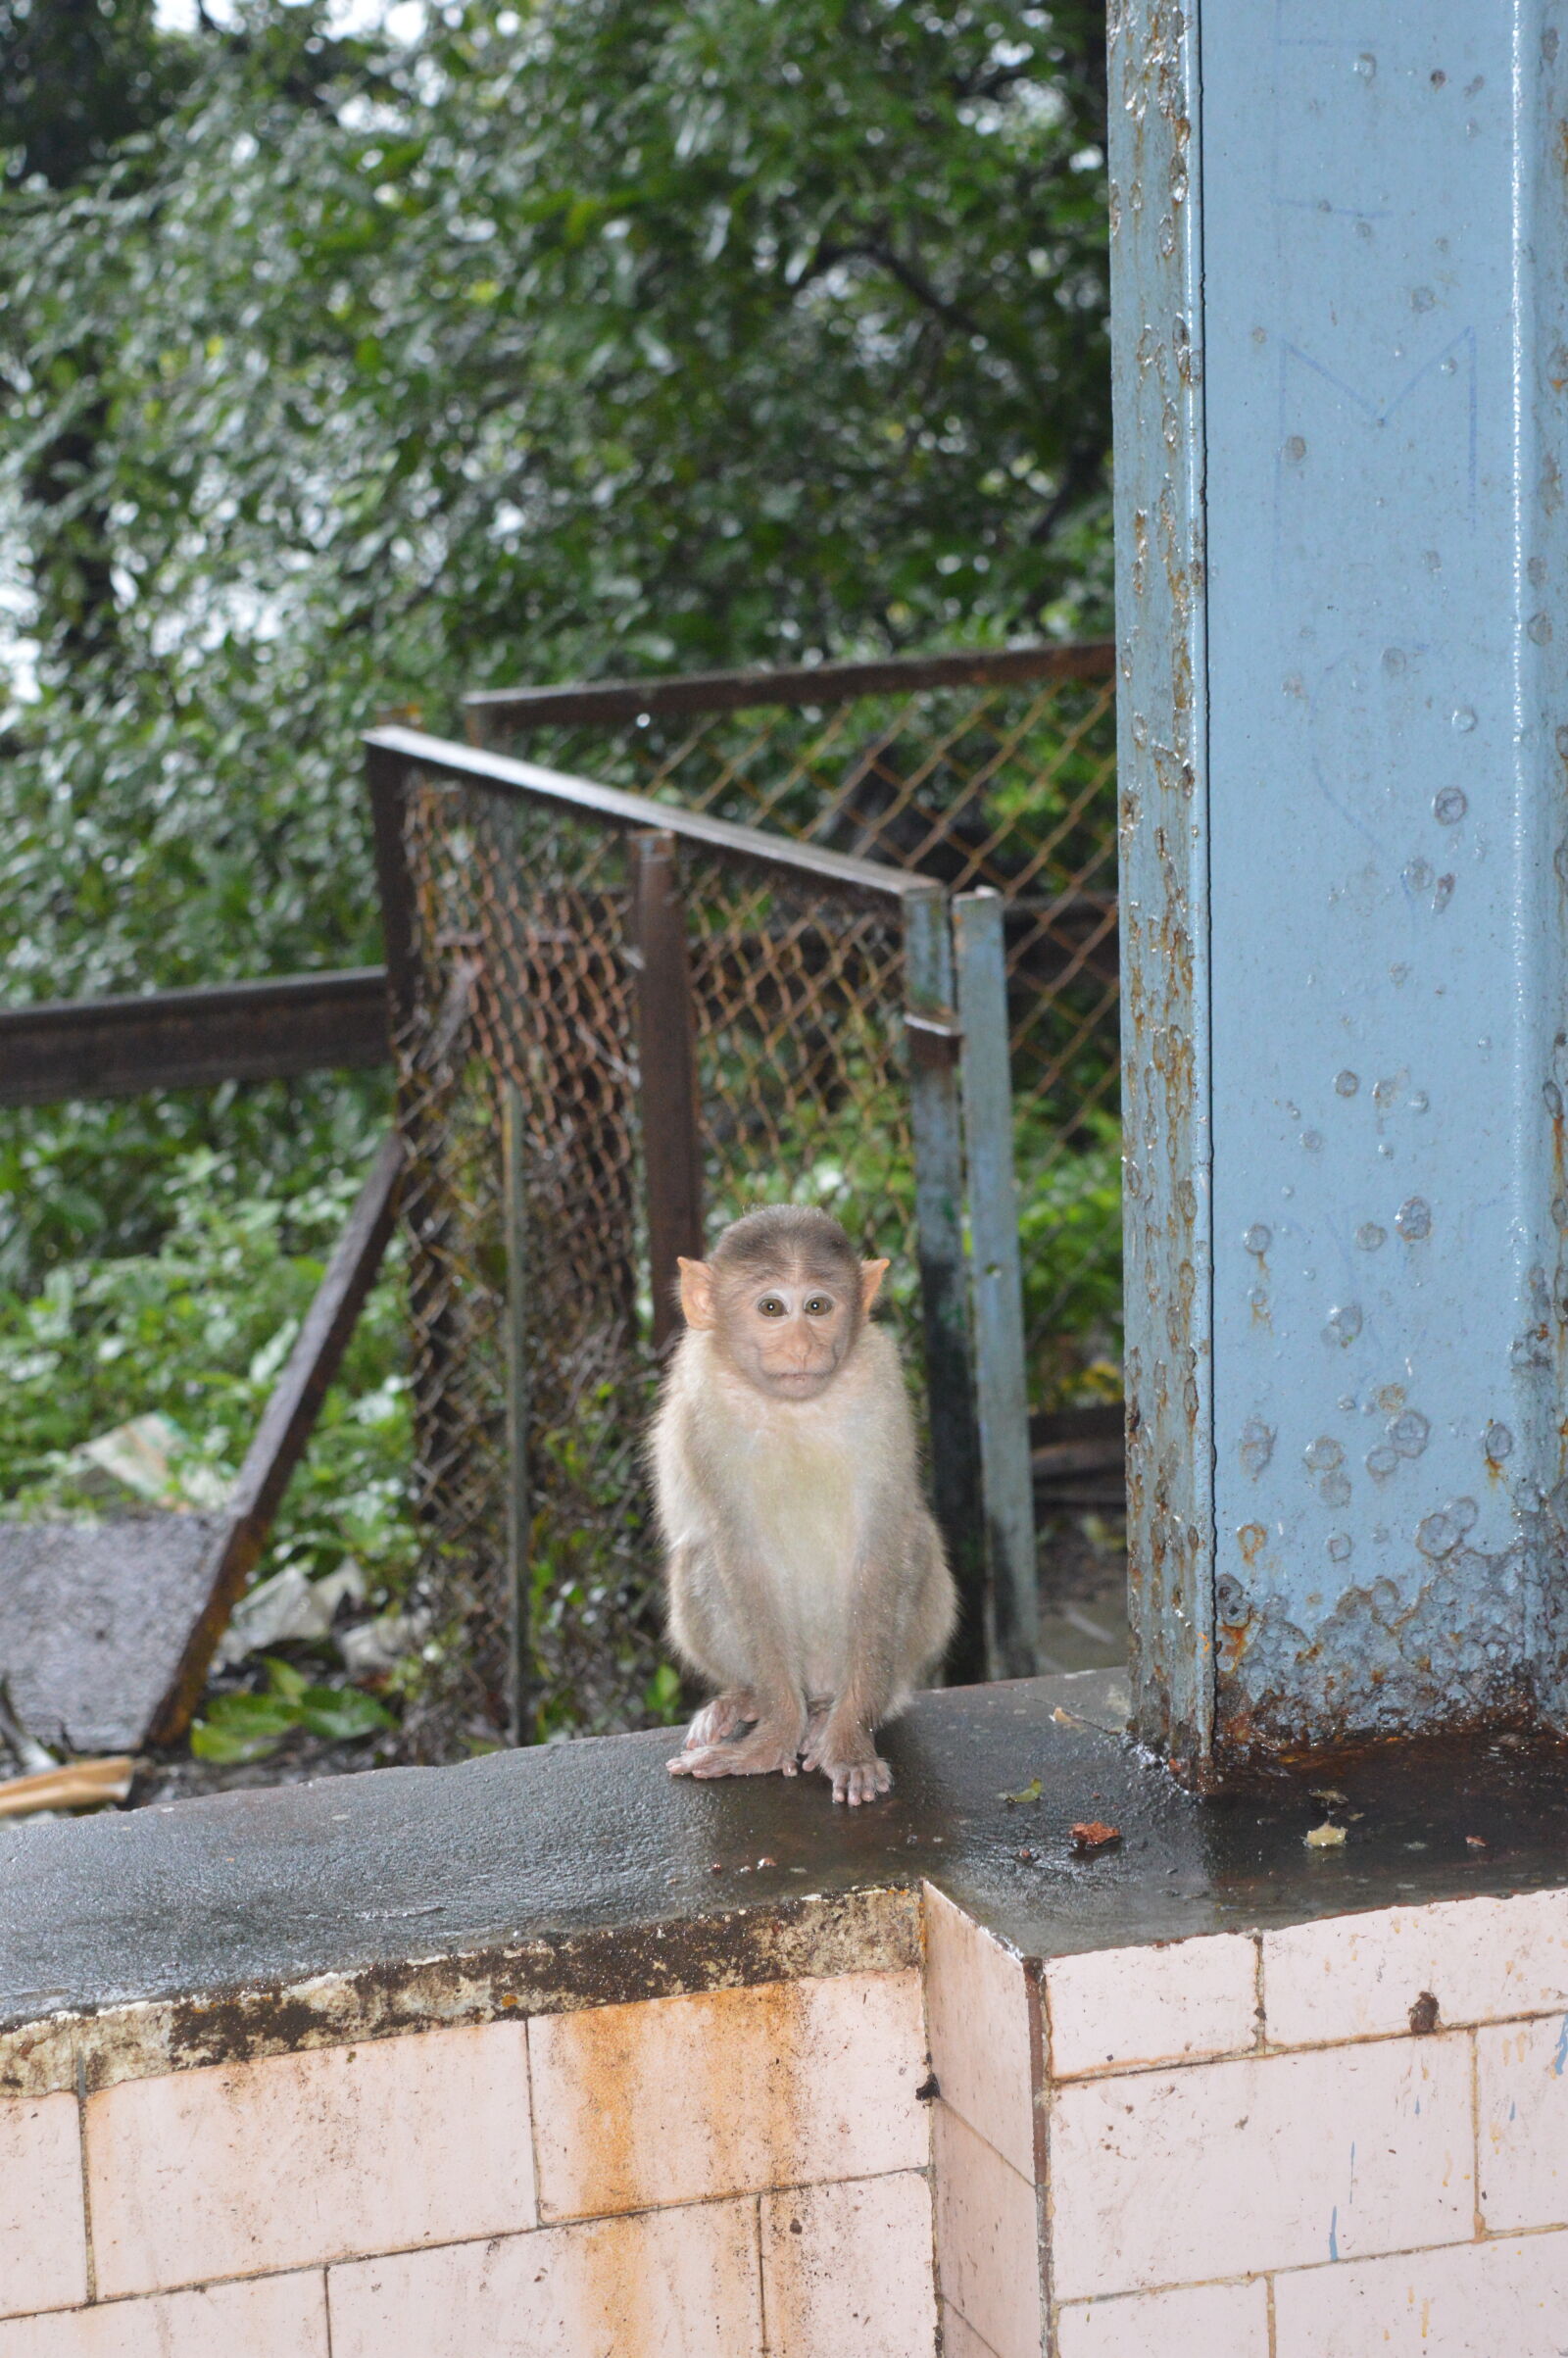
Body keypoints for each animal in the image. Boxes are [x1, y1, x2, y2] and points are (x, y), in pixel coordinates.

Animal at [646, 1216, 953, 1801]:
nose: (804, 1348)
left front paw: (849, 1740)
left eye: (817, 1306)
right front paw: (771, 1740)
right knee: (700, 1555)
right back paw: (749, 1701)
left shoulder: (880, 1384)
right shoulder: (703, 1405)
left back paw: (831, 1713)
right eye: (772, 1308)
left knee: (915, 1543)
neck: (792, 1406)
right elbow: (742, 1554)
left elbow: (881, 1544)